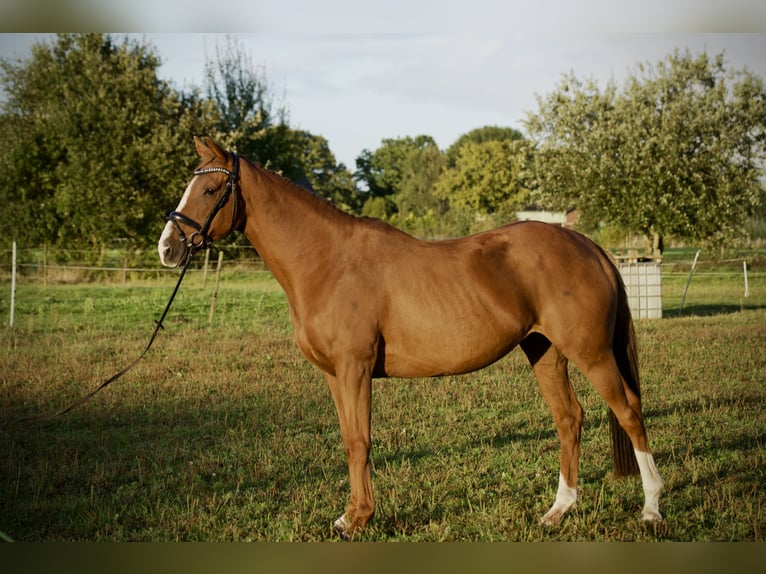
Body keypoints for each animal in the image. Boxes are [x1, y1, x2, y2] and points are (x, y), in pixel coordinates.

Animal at [159, 136, 664, 540]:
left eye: (210, 189)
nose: (168, 247)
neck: (327, 261)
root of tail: (586, 245)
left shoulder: (355, 369)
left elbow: (360, 442)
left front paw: (359, 519)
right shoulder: (334, 376)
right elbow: (348, 440)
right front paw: (349, 516)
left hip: (592, 353)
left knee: (629, 412)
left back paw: (651, 508)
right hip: (546, 353)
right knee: (569, 419)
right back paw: (558, 511)